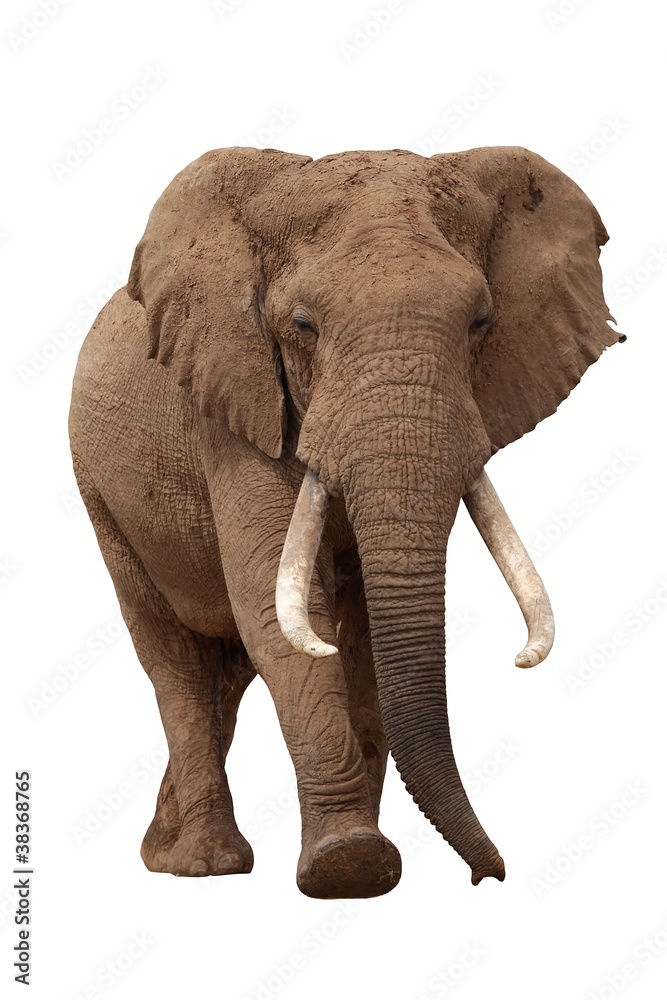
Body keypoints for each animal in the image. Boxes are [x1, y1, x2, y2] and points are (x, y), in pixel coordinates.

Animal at [68, 145, 621, 899]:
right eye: (302, 326)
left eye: (480, 322)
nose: (490, 874)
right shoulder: (234, 403)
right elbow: (284, 615)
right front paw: (347, 864)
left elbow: (357, 632)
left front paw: (367, 862)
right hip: (102, 497)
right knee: (173, 661)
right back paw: (205, 865)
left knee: (225, 671)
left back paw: (163, 852)